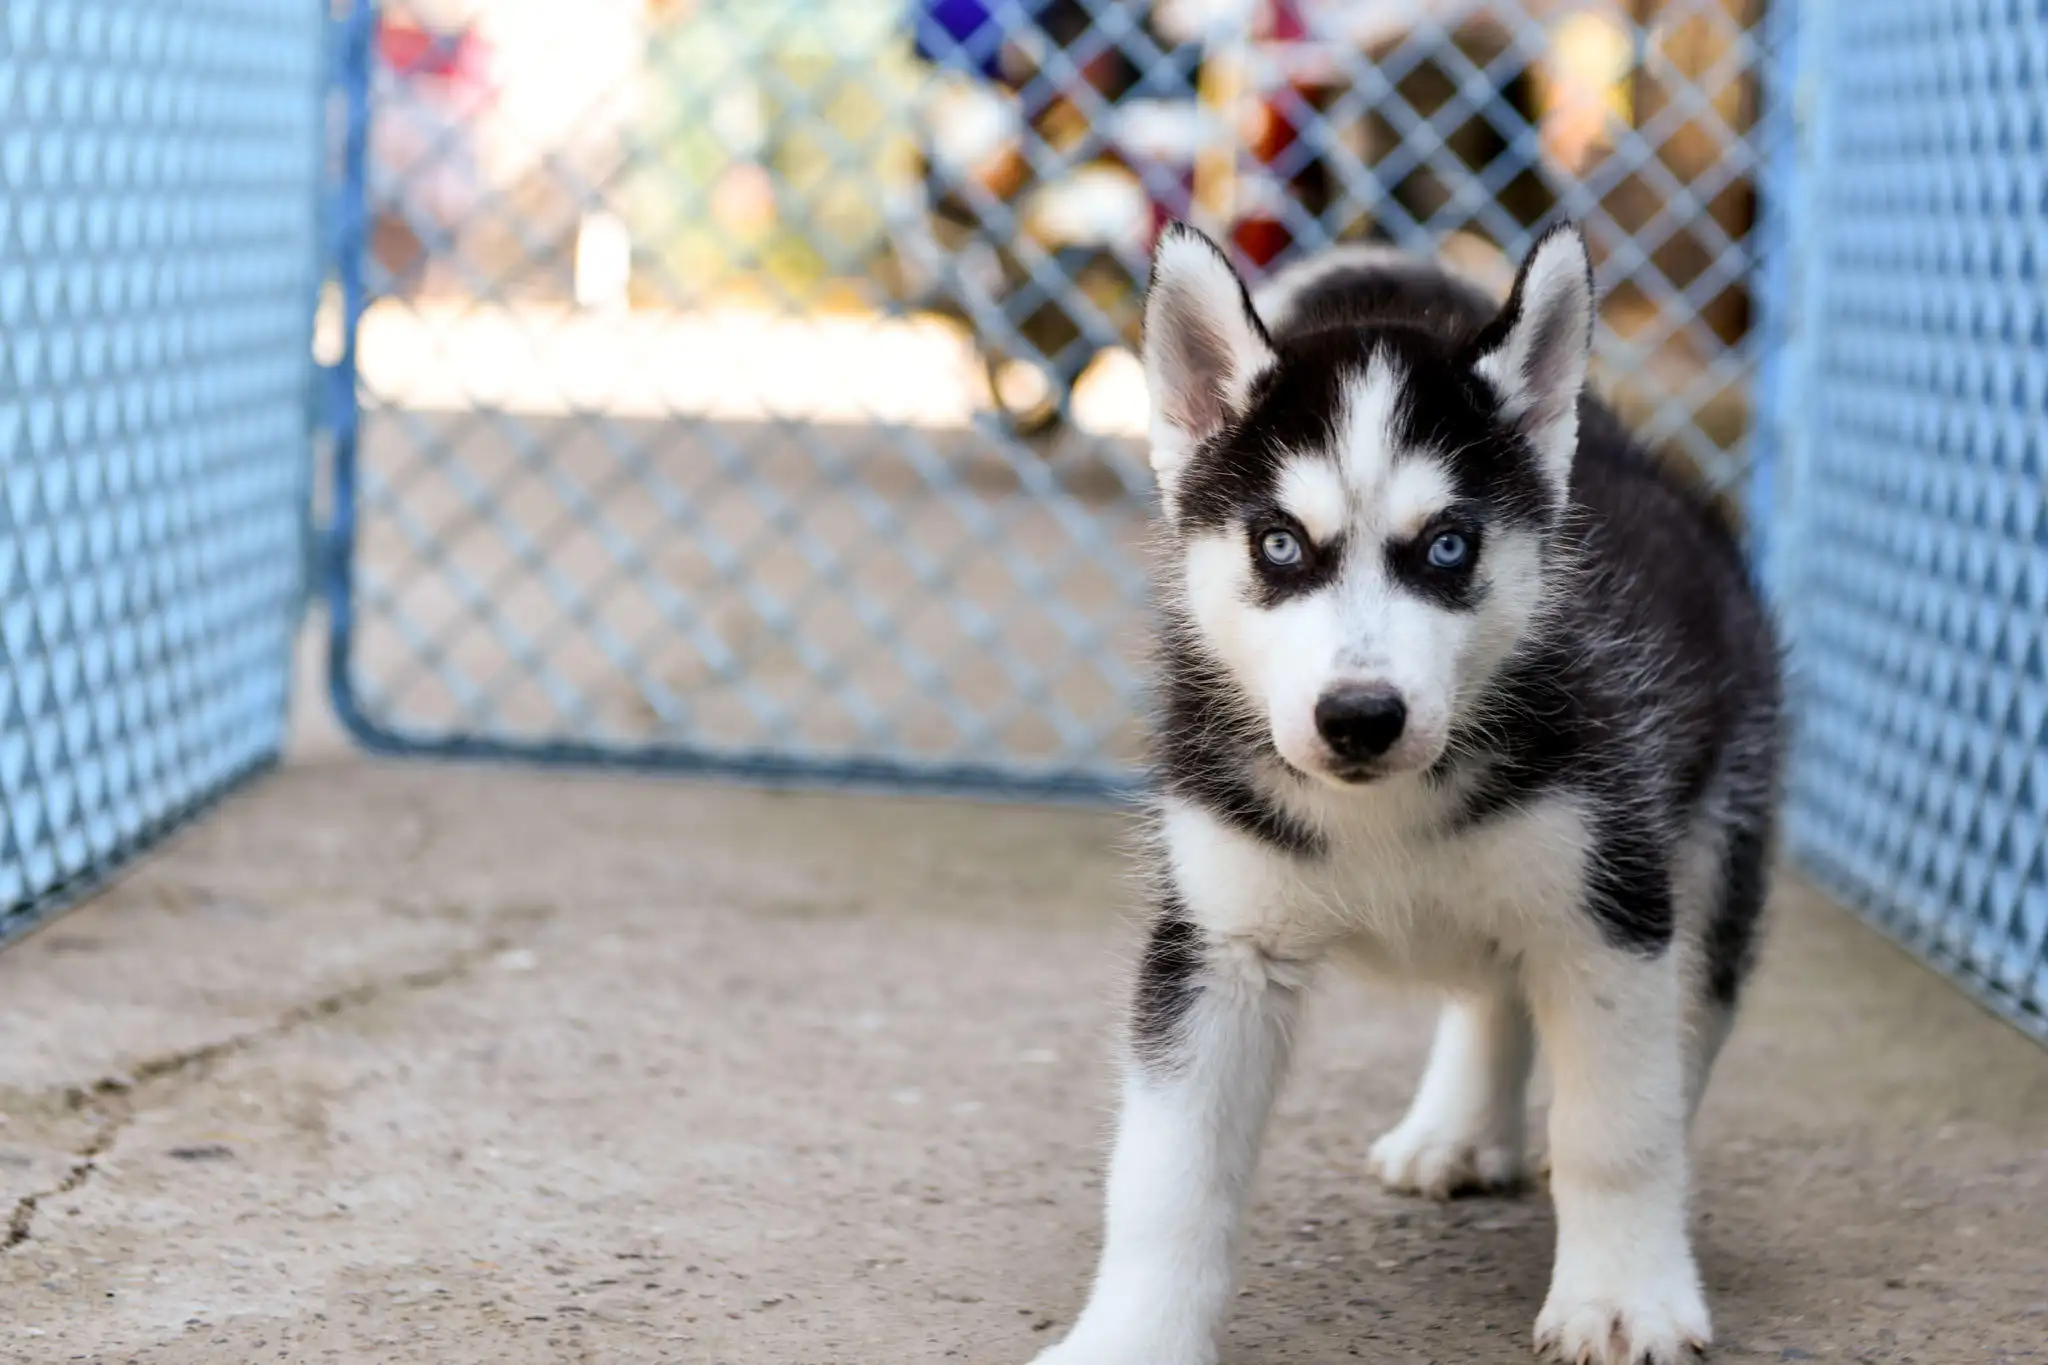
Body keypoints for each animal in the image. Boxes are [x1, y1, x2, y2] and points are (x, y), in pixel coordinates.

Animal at [1032, 224, 1785, 1365]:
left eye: (1446, 547)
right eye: (1279, 545)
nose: (1359, 716)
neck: (1379, 809)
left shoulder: (1604, 910)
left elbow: (1616, 1128)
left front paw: (1621, 1296)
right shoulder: (1217, 945)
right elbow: (1166, 1172)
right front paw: (1132, 1338)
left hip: (1708, 840)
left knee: (1684, 1023)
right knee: (1491, 989)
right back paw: (1459, 1130)